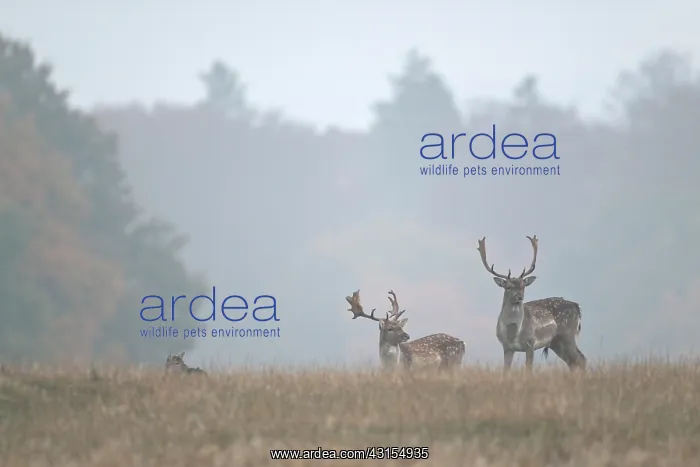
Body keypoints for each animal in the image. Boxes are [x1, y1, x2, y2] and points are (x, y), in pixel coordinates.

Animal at [476, 235, 586, 373]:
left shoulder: (531, 342)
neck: (513, 333)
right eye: (508, 287)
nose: (519, 297)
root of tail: (576, 306)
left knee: (580, 359)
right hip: (556, 342)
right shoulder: (507, 346)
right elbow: (505, 370)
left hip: (568, 335)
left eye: (523, 286)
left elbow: (528, 369)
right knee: (572, 362)